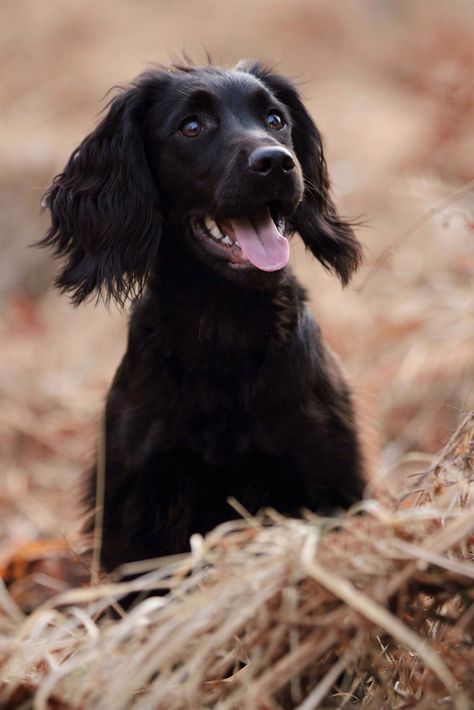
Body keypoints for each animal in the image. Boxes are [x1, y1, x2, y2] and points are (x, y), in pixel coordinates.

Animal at [41, 61, 366, 572]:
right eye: (191, 127)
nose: (277, 162)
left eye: (275, 119)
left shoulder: (327, 479)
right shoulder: (136, 507)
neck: (223, 330)